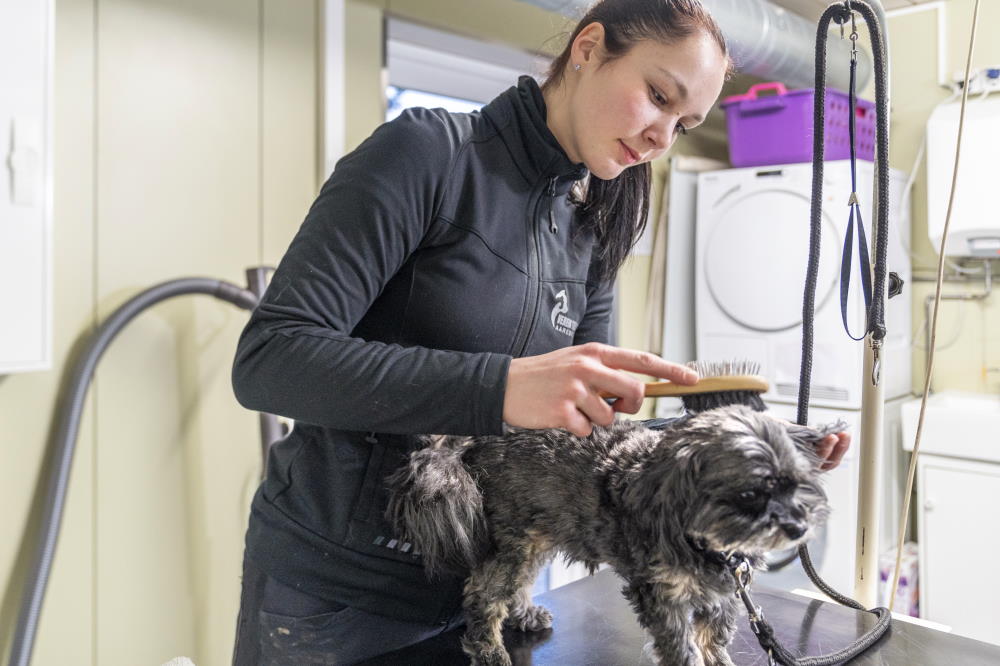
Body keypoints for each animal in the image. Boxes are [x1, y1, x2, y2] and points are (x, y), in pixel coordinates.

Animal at [386, 402, 840, 660]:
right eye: (751, 491)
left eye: (795, 481)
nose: (799, 526)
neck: (710, 541)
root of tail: (471, 441)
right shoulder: (660, 595)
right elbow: (683, 649)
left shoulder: (722, 597)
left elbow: (714, 642)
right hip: (512, 539)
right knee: (484, 597)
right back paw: (490, 650)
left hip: (537, 533)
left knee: (517, 584)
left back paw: (525, 614)